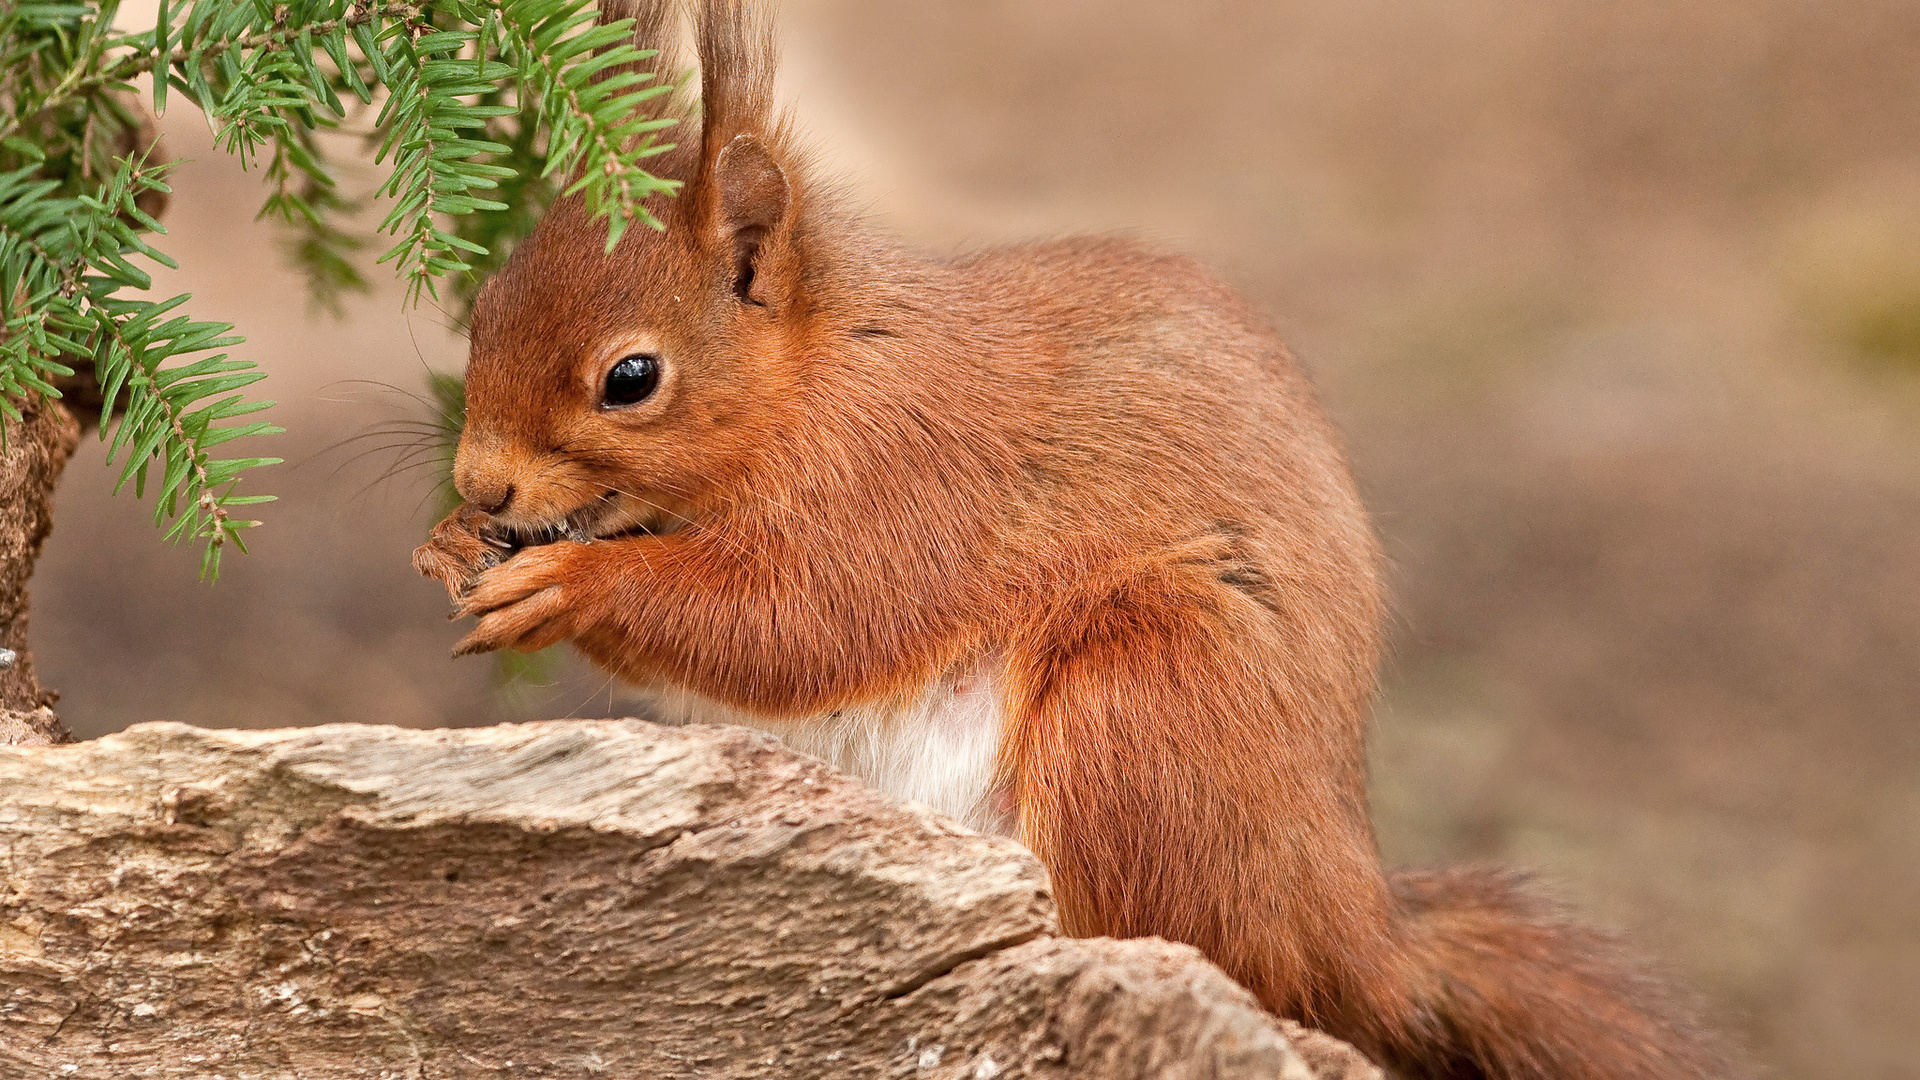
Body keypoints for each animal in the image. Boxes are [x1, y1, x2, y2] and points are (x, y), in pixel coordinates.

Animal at [416, 4, 1743, 1068]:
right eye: (483, 310)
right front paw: (446, 545)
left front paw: (570, 587)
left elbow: (798, 623)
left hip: (1146, 704)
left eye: (631, 378)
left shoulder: (911, 481)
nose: (482, 483)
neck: (821, 375)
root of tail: (1355, 928)